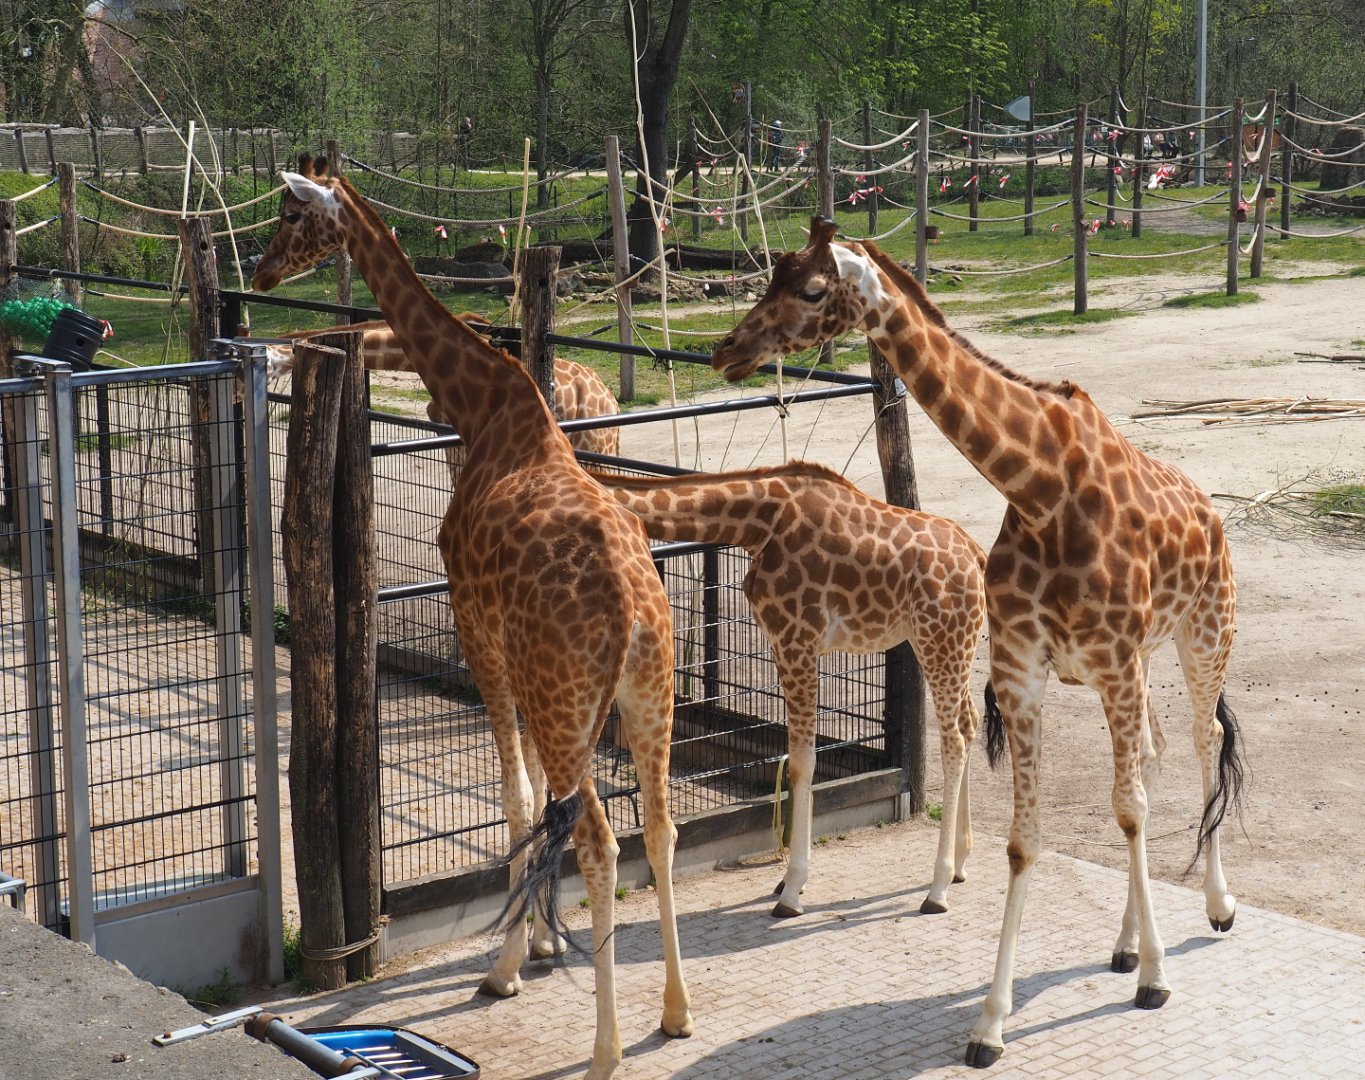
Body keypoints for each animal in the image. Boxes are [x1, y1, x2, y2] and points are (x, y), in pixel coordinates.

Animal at [590, 461, 987, 917]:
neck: (756, 522)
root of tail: (977, 555)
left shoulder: (798, 640)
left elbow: (801, 763)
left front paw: (792, 890)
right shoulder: (785, 644)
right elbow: (798, 760)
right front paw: (786, 881)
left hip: (940, 639)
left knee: (954, 740)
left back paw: (937, 888)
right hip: (952, 644)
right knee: (971, 723)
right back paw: (961, 864)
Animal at [710, 218, 1244, 1068]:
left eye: (812, 290)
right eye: (770, 278)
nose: (726, 349)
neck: (1039, 488)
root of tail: (1210, 511)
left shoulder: (1106, 661)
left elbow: (1125, 810)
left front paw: (1156, 979)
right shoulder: (1025, 671)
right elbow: (1025, 842)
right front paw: (990, 1022)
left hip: (1202, 633)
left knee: (1200, 743)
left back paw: (1215, 908)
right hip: (1130, 664)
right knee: (1156, 756)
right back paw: (1125, 942)